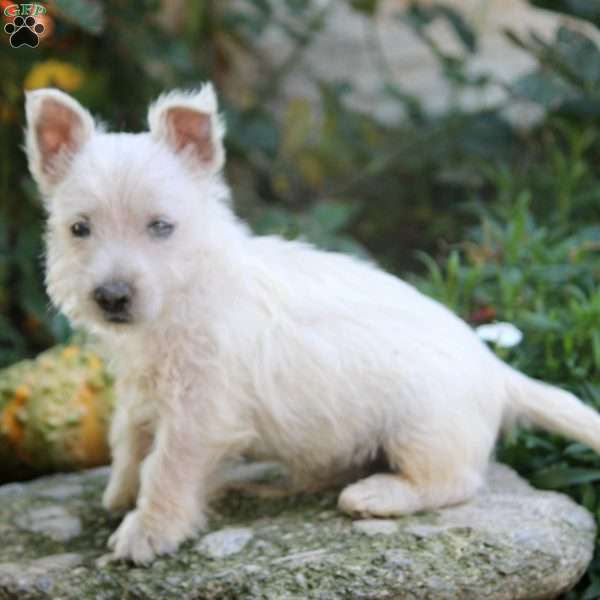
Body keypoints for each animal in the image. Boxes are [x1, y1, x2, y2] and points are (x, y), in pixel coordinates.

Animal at [24, 86, 600, 564]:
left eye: (161, 226)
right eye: (79, 229)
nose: (111, 297)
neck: (187, 295)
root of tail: (496, 368)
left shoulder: (199, 413)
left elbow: (166, 467)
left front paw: (146, 530)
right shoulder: (142, 390)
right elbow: (130, 438)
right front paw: (120, 493)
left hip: (422, 427)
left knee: (455, 480)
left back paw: (376, 493)